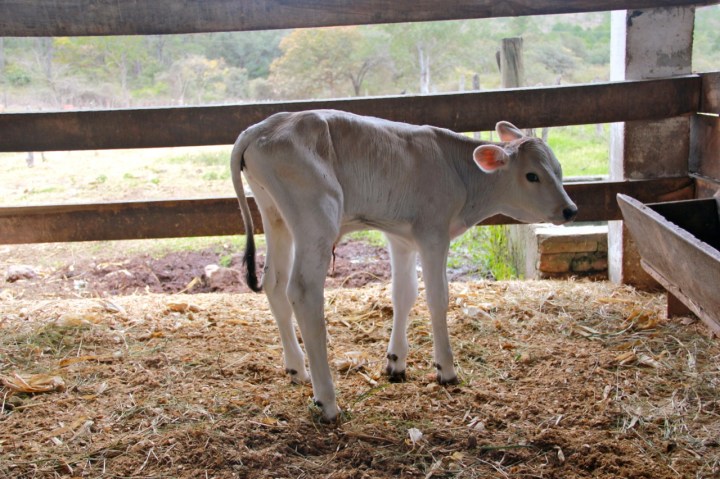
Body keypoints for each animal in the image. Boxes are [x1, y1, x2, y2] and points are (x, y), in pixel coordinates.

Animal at [230, 110, 577, 422]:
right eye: (532, 175)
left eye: (559, 170)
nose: (570, 209)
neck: (459, 174)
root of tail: (264, 126)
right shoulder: (433, 233)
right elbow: (437, 298)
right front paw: (446, 369)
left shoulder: (401, 237)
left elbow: (404, 294)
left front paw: (396, 362)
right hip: (316, 216)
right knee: (303, 292)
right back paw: (327, 401)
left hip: (275, 215)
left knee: (274, 283)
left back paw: (296, 368)